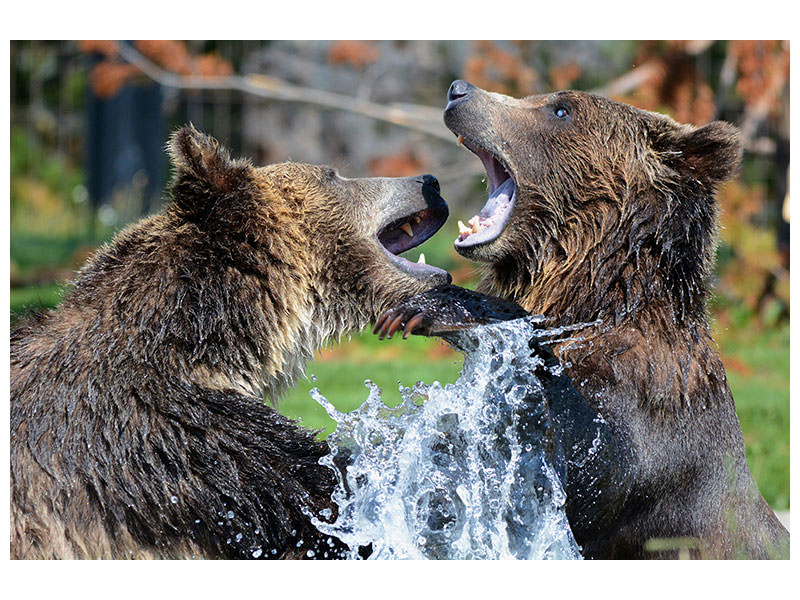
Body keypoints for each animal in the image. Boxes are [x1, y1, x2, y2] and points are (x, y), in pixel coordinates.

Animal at [375, 81, 789, 559]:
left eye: (560, 110)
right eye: (538, 98)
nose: (460, 92)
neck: (594, 299)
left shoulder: (648, 415)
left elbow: (584, 457)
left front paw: (430, 309)